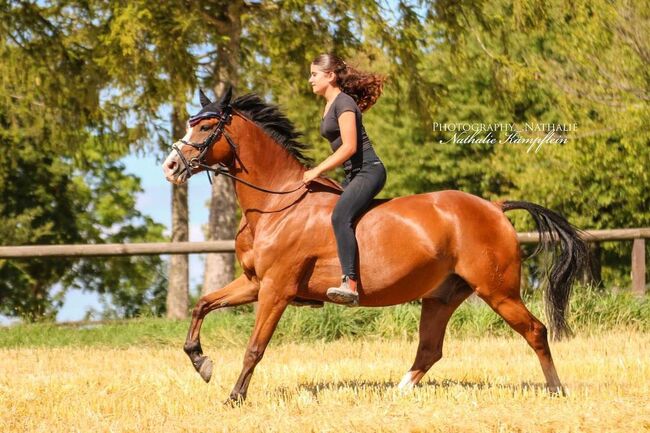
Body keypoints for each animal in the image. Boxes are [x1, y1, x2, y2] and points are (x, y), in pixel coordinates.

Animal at [161, 86, 588, 404]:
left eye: (205, 127)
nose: (170, 167)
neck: (276, 204)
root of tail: (495, 208)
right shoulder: (254, 283)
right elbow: (202, 305)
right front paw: (201, 362)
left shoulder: (276, 288)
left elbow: (255, 346)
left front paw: (234, 397)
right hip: (442, 295)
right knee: (430, 349)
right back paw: (398, 391)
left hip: (497, 290)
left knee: (536, 331)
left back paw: (556, 390)